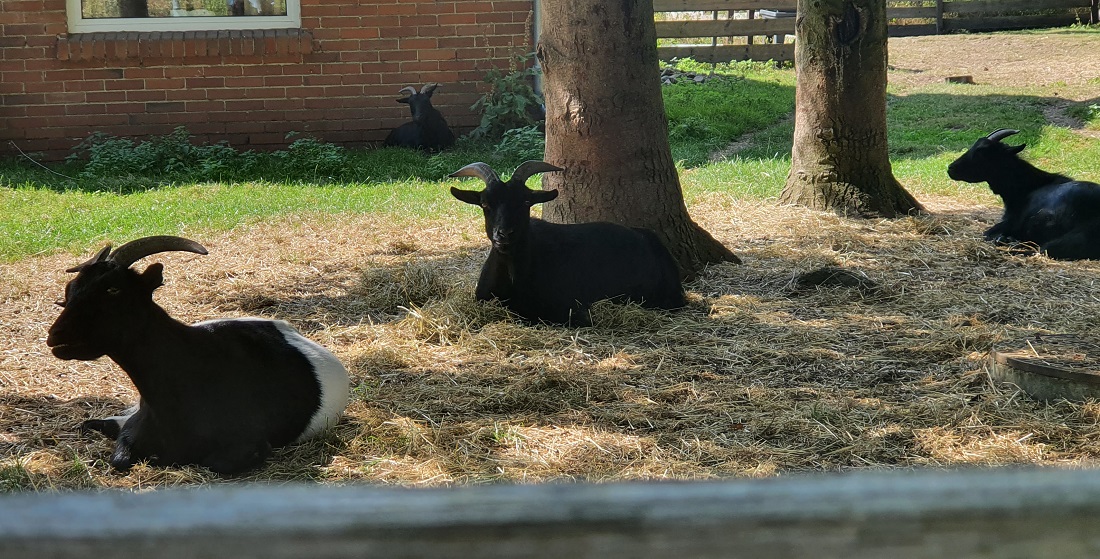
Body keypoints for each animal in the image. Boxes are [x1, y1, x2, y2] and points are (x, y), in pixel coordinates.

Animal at [46, 235, 347, 475]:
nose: (56, 336)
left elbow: (216, 464)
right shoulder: (135, 427)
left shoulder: (252, 443)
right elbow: (120, 457)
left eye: (113, 288)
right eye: (70, 289)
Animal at [946, 127, 1100, 259]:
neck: (1028, 187)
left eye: (981, 151)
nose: (950, 168)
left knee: (1040, 250)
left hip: (1074, 237)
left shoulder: (1010, 223)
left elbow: (987, 234)